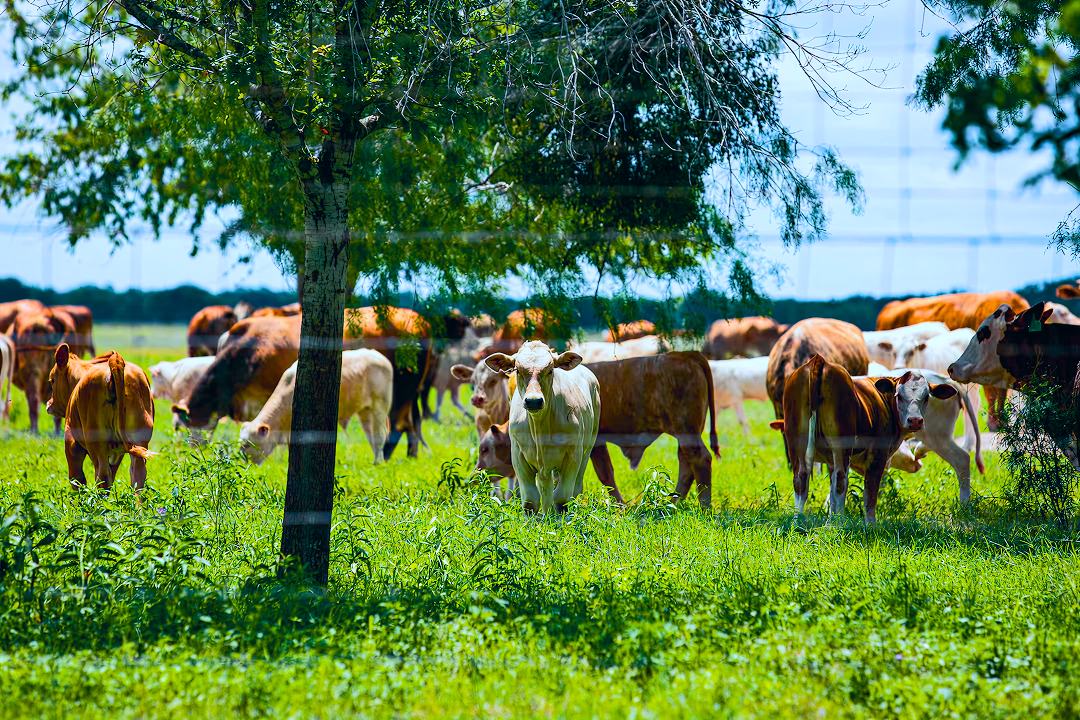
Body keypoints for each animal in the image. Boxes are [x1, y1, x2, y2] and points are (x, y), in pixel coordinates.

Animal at [46, 345, 154, 491]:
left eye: (52, 380)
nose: (49, 404)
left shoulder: (71, 444)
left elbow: (77, 479)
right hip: (139, 441)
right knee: (137, 475)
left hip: (97, 443)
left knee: (102, 475)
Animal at [239, 349, 393, 465]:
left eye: (247, 445)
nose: (245, 464)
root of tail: (379, 356)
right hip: (365, 412)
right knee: (372, 437)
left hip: (379, 408)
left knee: (379, 437)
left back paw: (378, 464)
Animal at [484, 341, 600, 513]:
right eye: (517, 370)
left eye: (550, 370)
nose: (533, 401)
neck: (540, 428)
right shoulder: (518, 456)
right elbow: (530, 501)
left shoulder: (573, 454)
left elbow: (562, 498)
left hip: (588, 446)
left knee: (576, 486)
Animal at [770, 356, 956, 522]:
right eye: (899, 396)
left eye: (926, 397)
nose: (915, 420)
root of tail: (819, 361)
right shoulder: (878, 454)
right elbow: (870, 493)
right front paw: (870, 525)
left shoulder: (830, 459)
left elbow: (832, 491)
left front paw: (832, 518)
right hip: (841, 444)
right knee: (840, 481)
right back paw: (837, 525)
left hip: (796, 444)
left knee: (801, 480)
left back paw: (799, 522)